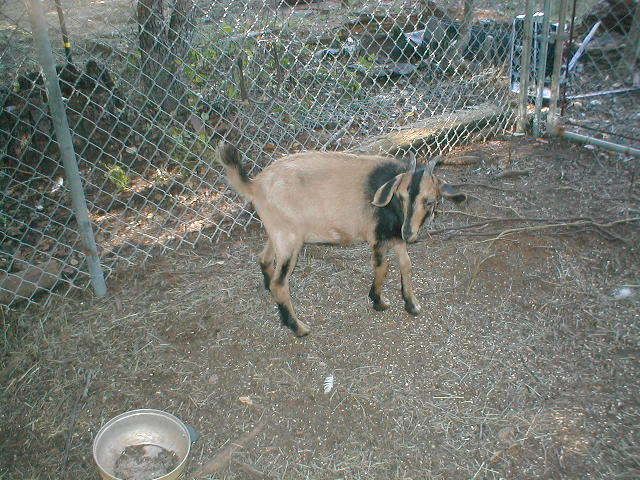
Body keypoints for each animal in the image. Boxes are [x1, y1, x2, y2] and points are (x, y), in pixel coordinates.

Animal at [216, 143, 466, 337]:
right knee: (280, 282)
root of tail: (255, 184)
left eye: (430, 201)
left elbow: (406, 264)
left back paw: (273, 298)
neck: (393, 207)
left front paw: (411, 304)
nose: (409, 233)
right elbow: (383, 267)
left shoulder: (394, 236)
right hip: (289, 240)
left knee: (265, 259)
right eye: (401, 195)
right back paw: (298, 327)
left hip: (278, 232)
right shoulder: (378, 237)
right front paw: (378, 301)